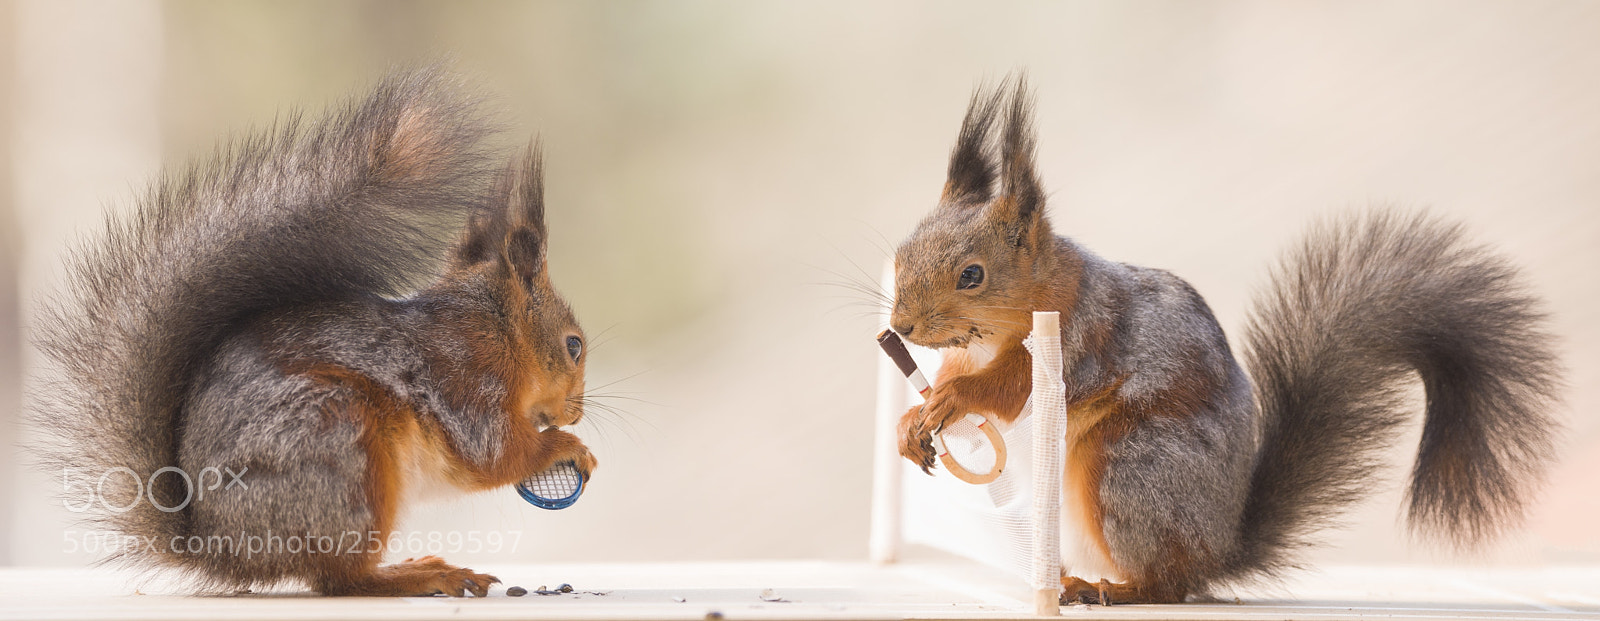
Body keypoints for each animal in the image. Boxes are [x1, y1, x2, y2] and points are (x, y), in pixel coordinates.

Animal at [30, 68, 596, 596]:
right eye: (574, 346)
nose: (576, 412)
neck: (497, 331)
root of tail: (221, 550)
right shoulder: (468, 381)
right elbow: (493, 455)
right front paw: (567, 447)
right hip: (341, 450)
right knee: (339, 580)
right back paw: (414, 576)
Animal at [891, 76, 1562, 604]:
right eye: (899, 253)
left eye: (972, 275)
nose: (902, 327)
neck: (1000, 327)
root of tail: (1218, 548)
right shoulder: (964, 351)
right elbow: (950, 376)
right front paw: (912, 420)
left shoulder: (1084, 335)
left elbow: (1013, 387)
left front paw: (955, 401)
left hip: (1128, 470)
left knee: (1168, 583)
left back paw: (1108, 589)